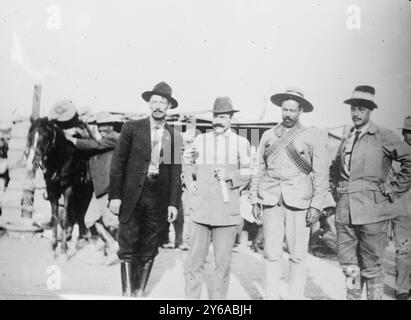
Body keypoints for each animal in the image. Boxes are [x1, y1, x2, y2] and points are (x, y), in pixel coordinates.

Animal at [26, 117, 93, 260]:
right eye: (30, 137)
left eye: (45, 137)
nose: (31, 163)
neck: (60, 160)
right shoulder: (52, 191)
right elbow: (55, 219)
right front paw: (53, 248)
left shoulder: (69, 190)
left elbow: (64, 219)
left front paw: (63, 251)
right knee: (77, 217)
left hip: (85, 195)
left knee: (80, 216)